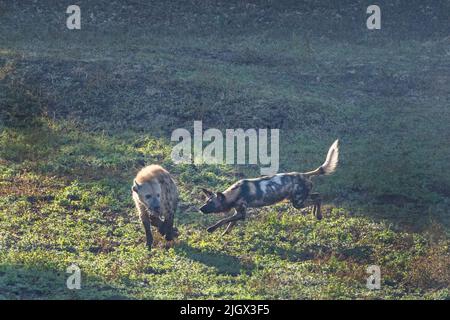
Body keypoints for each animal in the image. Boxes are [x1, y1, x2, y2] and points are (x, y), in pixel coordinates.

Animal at [199, 140, 340, 235]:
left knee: (317, 199)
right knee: (318, 196)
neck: (234, 193)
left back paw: (318, 215)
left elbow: (223, 220)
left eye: (211, 203)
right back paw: (316, 214)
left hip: (297, 203)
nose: (200, 209)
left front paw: (211, 229)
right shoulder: (238, 213)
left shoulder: (242, 214)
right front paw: (225, 234)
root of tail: (305, 174)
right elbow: (229, 224)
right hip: (298, 199)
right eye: (206, 201)